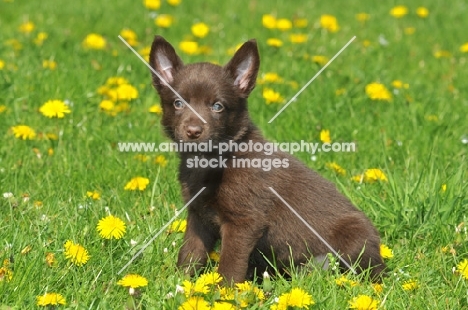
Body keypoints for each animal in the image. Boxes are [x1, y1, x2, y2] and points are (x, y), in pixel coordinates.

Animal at [148, 35, 386, 284]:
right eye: (178, 103)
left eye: (217, 106)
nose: (193, 131)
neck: (216, 160)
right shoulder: (198, 216)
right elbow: (190, 253)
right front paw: (179, 283)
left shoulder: (244, 222)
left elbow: (230, 266)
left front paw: (222, 291)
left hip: (354, 239)